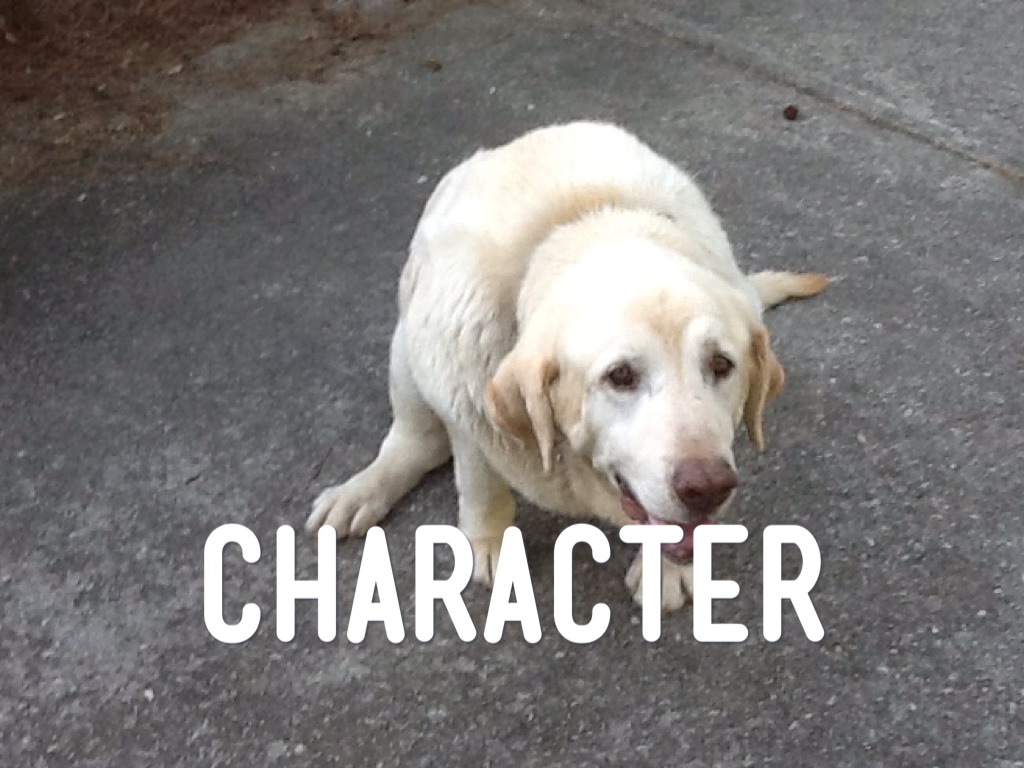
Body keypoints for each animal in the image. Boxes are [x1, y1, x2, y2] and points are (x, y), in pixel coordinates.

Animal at [307, 121, 827, 611]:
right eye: (620, 376)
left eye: (721, 364)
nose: (708, 488)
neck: (587, 218)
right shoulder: (464, 400)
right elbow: (480, 482)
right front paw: (489, 542)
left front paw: (667, 569)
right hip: (405, 350)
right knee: (416, 440)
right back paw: (364, 490)